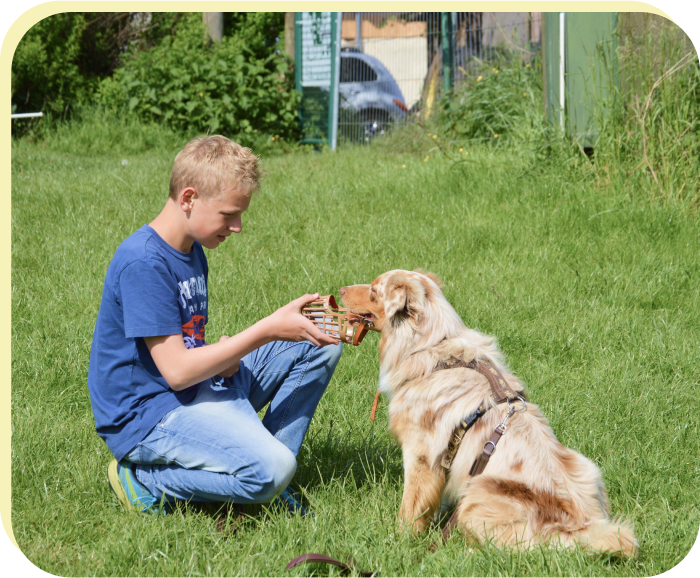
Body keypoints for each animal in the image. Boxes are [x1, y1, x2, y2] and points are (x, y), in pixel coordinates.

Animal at [340, 270, 640, 552]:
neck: (431, 346)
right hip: (587, 467)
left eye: (374, 290)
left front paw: (399, 539)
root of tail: (578, 527)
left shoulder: (420, 455)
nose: (341, 288)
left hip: (480, 490)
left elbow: (411, 507)